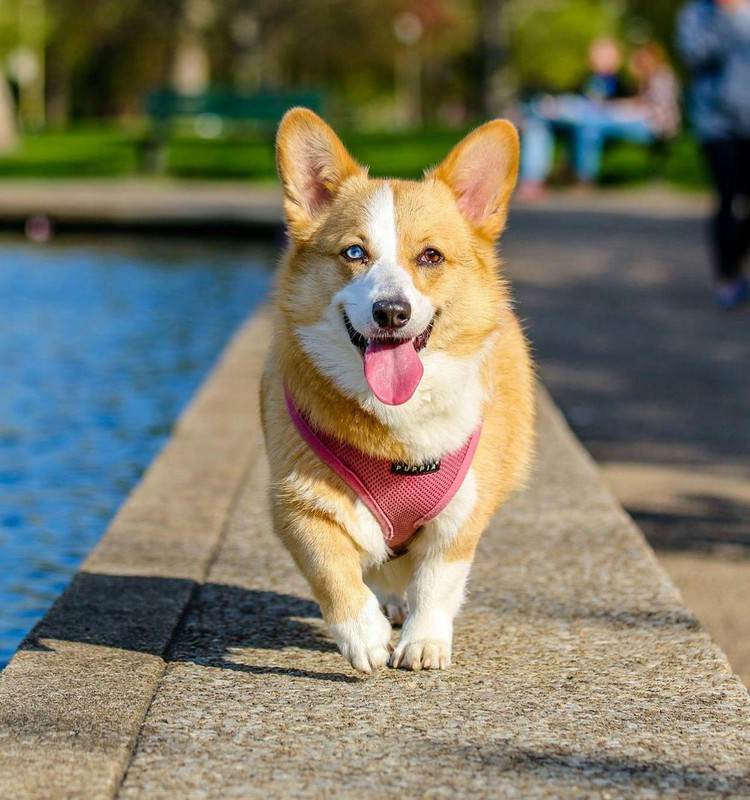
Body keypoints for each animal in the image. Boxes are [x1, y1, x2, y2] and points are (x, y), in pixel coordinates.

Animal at [262, 104, 536, 668]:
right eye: (353, 252)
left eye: (430, 256)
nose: (392, 311)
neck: (397, 422)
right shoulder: (296, 503)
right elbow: (332, 570)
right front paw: (363, 635)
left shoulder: (462, 514)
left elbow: (437, 580)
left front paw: (424, 641)